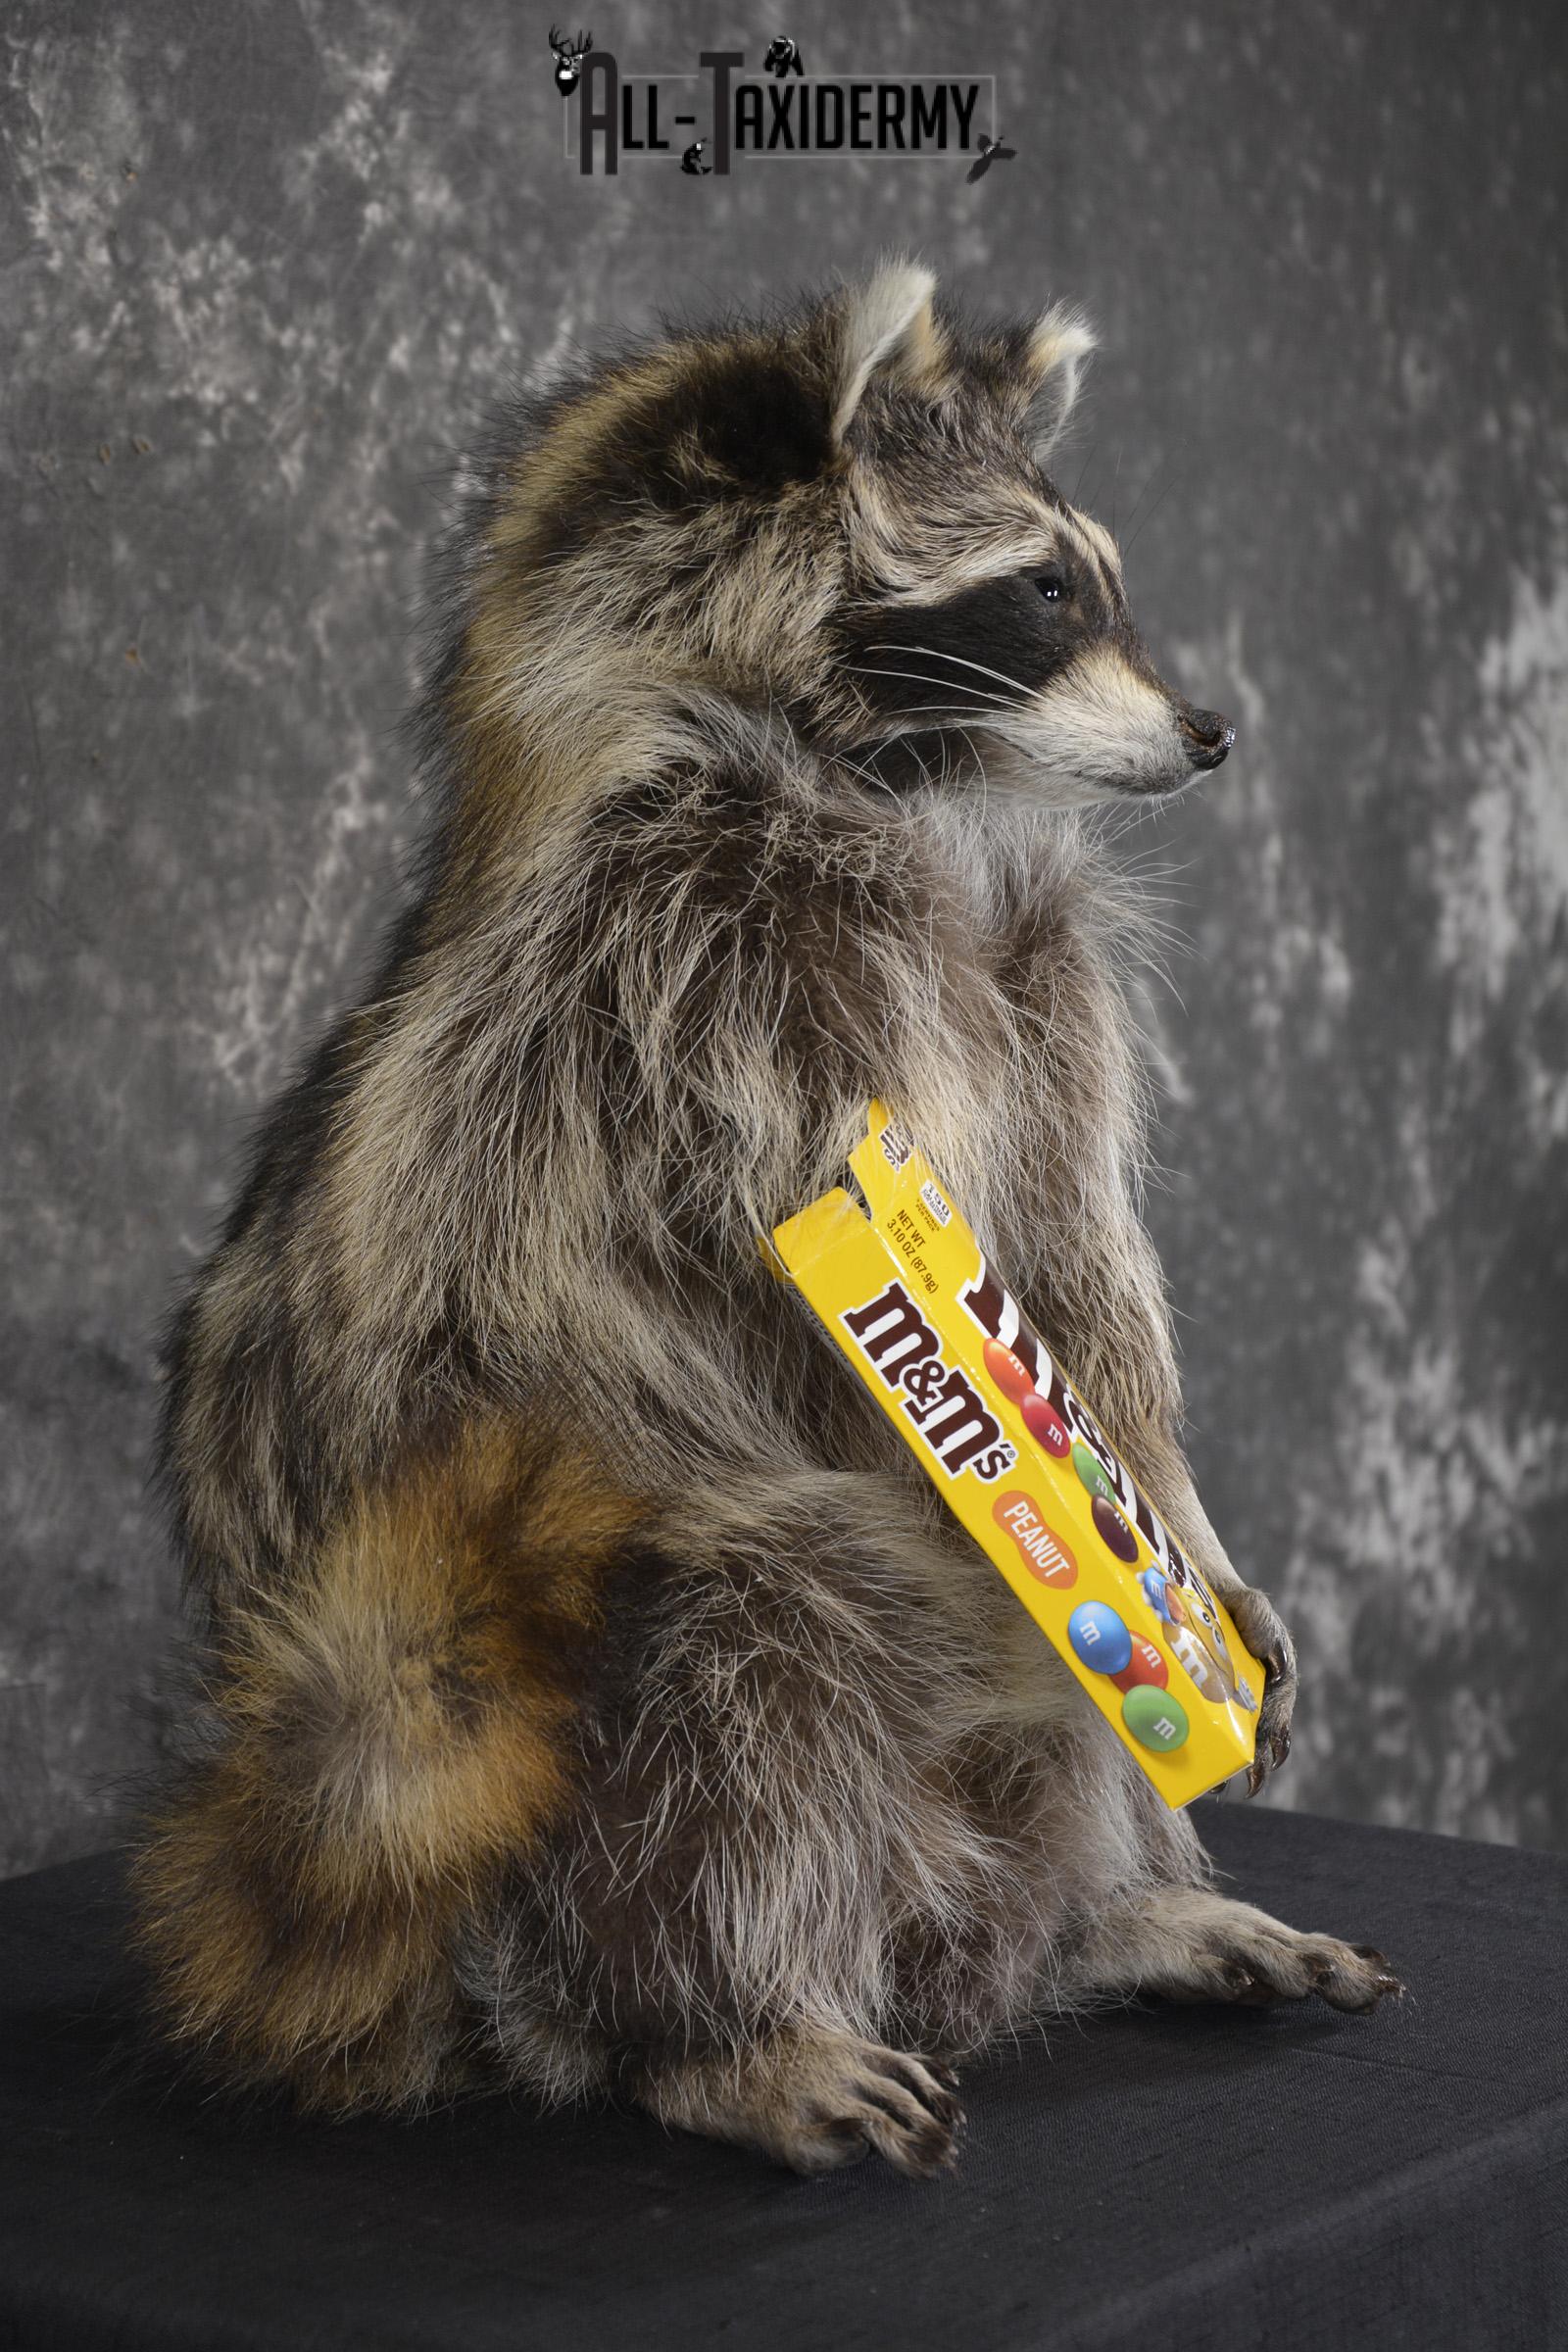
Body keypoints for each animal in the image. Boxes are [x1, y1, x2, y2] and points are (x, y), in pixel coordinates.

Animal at [132, 262, 1400, 2176]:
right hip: (555, 1653)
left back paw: (1114, 1905)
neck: (916, 792)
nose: (1210, 734)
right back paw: (726, 2020)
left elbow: (1078, 1267)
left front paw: (1172, 1515)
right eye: (1047, 591)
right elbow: (817, 1292)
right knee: (757, 1653)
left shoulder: (1038, 973)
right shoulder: (704, 966)